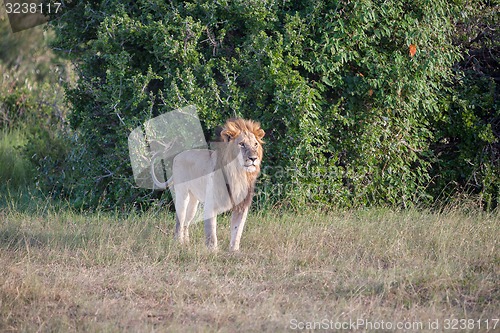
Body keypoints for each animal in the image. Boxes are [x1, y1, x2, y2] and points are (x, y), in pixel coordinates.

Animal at [149, 118, 264, 250]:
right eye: (242, 144)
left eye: (255, 144)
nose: (253, 158)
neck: (238, 174)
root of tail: (178, 155)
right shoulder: (211, 204)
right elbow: (211, 233)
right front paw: (213, 251)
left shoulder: (242, 206)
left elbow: (237, 232)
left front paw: (234, 252)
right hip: (182, 195)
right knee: (179, 221)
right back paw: (178, 244)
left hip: (193, 203)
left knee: (186, 223)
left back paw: (186, 243)